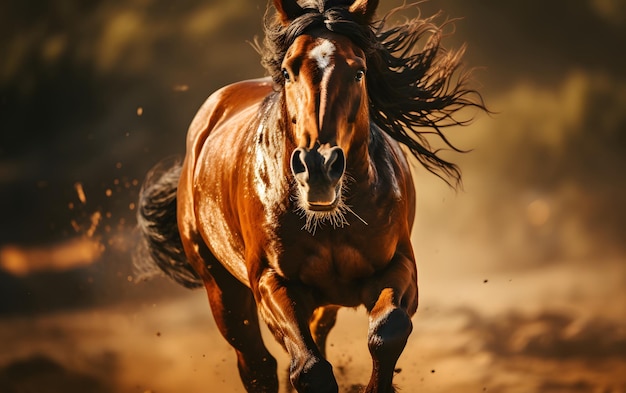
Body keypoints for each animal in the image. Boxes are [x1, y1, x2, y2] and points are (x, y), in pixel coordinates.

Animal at [133, 1, 482, 390]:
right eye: (288, 71)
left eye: (359, 71)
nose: (318, 166)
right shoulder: (272, 281)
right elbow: (310, 368)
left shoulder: (397, 264)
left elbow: (387, 330)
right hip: (221, 288)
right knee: (256, 364)